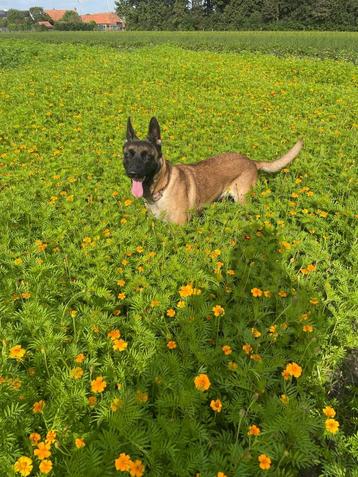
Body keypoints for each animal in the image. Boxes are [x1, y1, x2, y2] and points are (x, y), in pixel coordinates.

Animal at [122, 117, 302, 225]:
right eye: (127, 155)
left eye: (147, 156)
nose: (132, 173)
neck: (162, 187)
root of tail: (251, 161)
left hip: (242, 200)